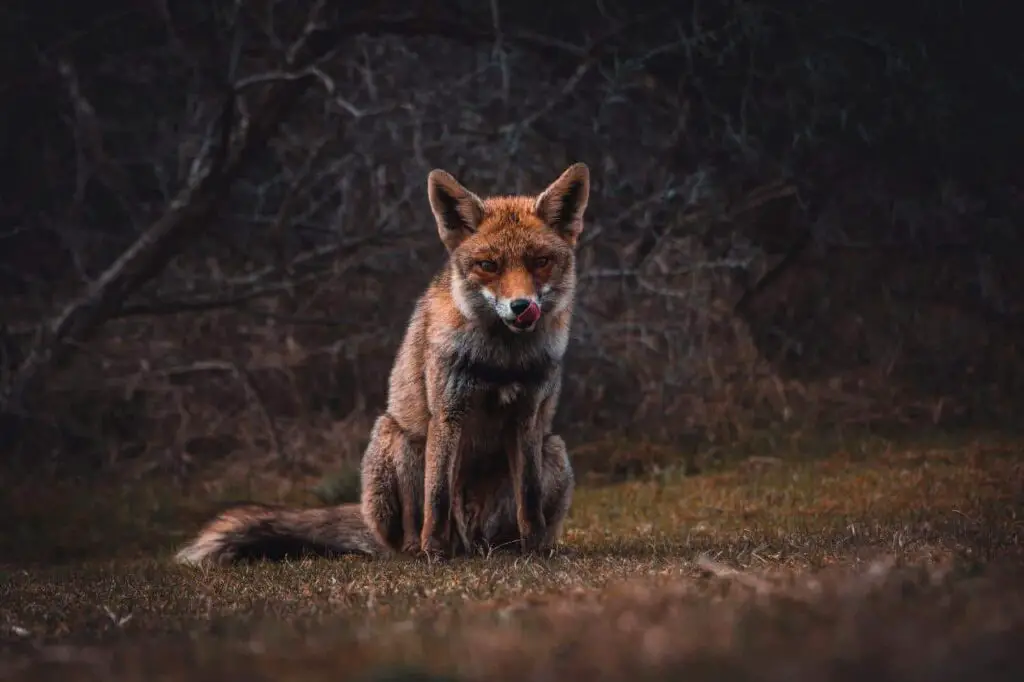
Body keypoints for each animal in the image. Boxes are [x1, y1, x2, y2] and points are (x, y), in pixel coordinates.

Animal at [174, 160, 593, 561]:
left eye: (540, 261)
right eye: (489, 265)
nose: (522, 306)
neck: (502, 361)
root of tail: (472, 545)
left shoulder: (527, 417)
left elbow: (529, 499)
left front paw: (537, 550)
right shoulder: (448, 413)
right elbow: (437, 497)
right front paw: (434, 553)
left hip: (553, 449)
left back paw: (514, 548)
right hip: (399, 439)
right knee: (413, 525)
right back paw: (421, 550)